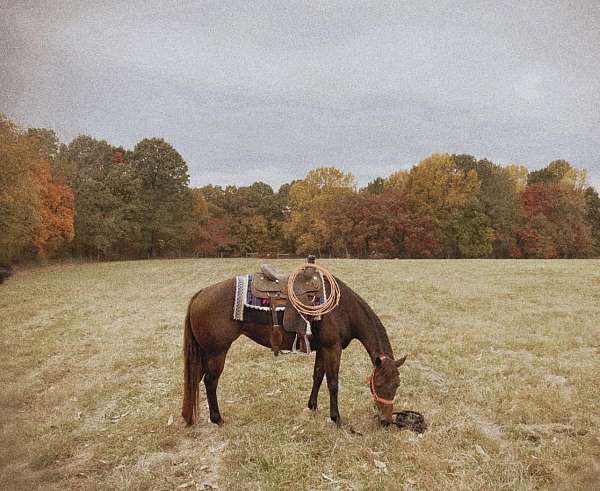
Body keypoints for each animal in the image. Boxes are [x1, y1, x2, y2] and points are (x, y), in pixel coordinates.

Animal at [182, 276, 408, 426]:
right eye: (378, 384)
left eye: (397, 385)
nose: (386, 421)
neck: (343, 309)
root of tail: (200, 294)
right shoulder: (332, 348)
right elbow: (333, 384)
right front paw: (336, 419)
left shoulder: (323, 349)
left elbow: (317, 376)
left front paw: (312, 406)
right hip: (217, 353)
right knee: (210, 382)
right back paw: (217, 419)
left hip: (205, 354)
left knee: (197, 380)